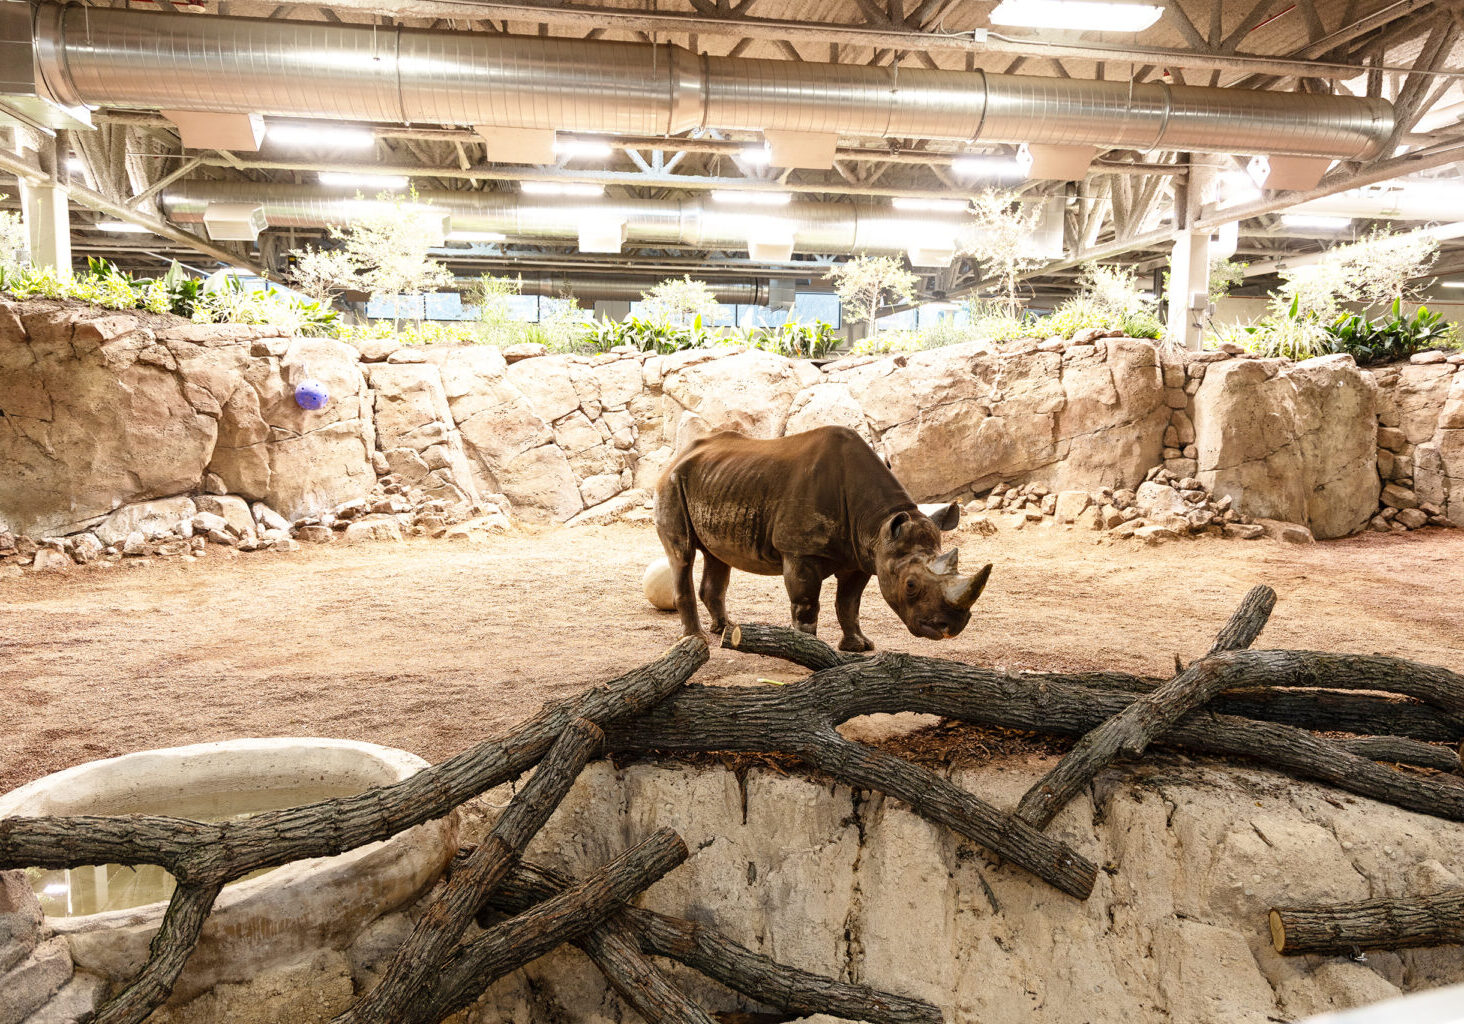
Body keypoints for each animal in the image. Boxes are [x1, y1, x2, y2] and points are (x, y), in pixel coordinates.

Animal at [654, 425, 992, 651]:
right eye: (910, 585)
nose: (951, 628)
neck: (879, 523)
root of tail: (679, 455)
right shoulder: (800, 551)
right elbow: (806, 604)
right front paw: (807, 651)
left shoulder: (863, 555)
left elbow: (849, 603)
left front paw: (859, 646)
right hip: (671, 483)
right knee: (682, 555)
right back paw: (696, 639)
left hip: (716, 480)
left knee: (717, 557)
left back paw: (726, 630)